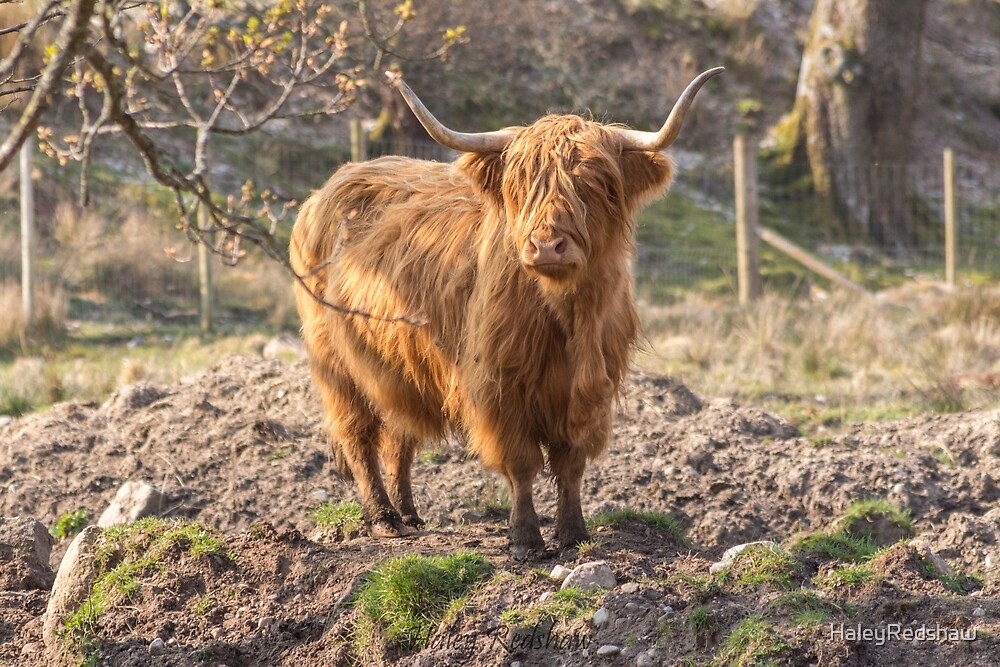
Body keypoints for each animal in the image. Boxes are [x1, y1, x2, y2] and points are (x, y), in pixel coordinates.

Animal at [290, 67, 722, 557]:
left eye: (595, 184)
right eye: (522, 184)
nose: (547, 245)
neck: (567, 319)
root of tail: (329, 186)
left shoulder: (592, 392)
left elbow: (571, 464)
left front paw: (574, 534)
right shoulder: (499, 387)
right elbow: (521, 463)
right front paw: (525, 539)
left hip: (400, 366)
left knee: (399, 435)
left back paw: (410, 516)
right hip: (335, 365)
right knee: (359, 436)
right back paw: (383, 519)